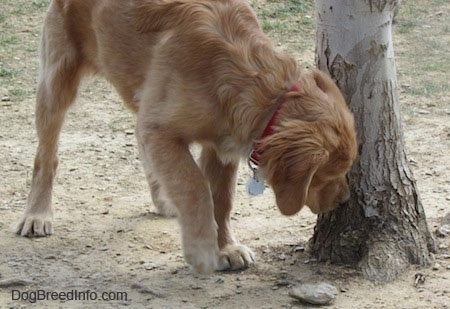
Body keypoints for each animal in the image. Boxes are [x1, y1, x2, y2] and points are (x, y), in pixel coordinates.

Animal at [15, 0, 356, 274]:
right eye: (326, 175)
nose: (345, 199)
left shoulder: (220, 142)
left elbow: (221, 198)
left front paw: (225, 248)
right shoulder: (162, 128)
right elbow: (194, 186)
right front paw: (202, 250)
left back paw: (163, 198)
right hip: (57, 81)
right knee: (46, 155)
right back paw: (36, 214)